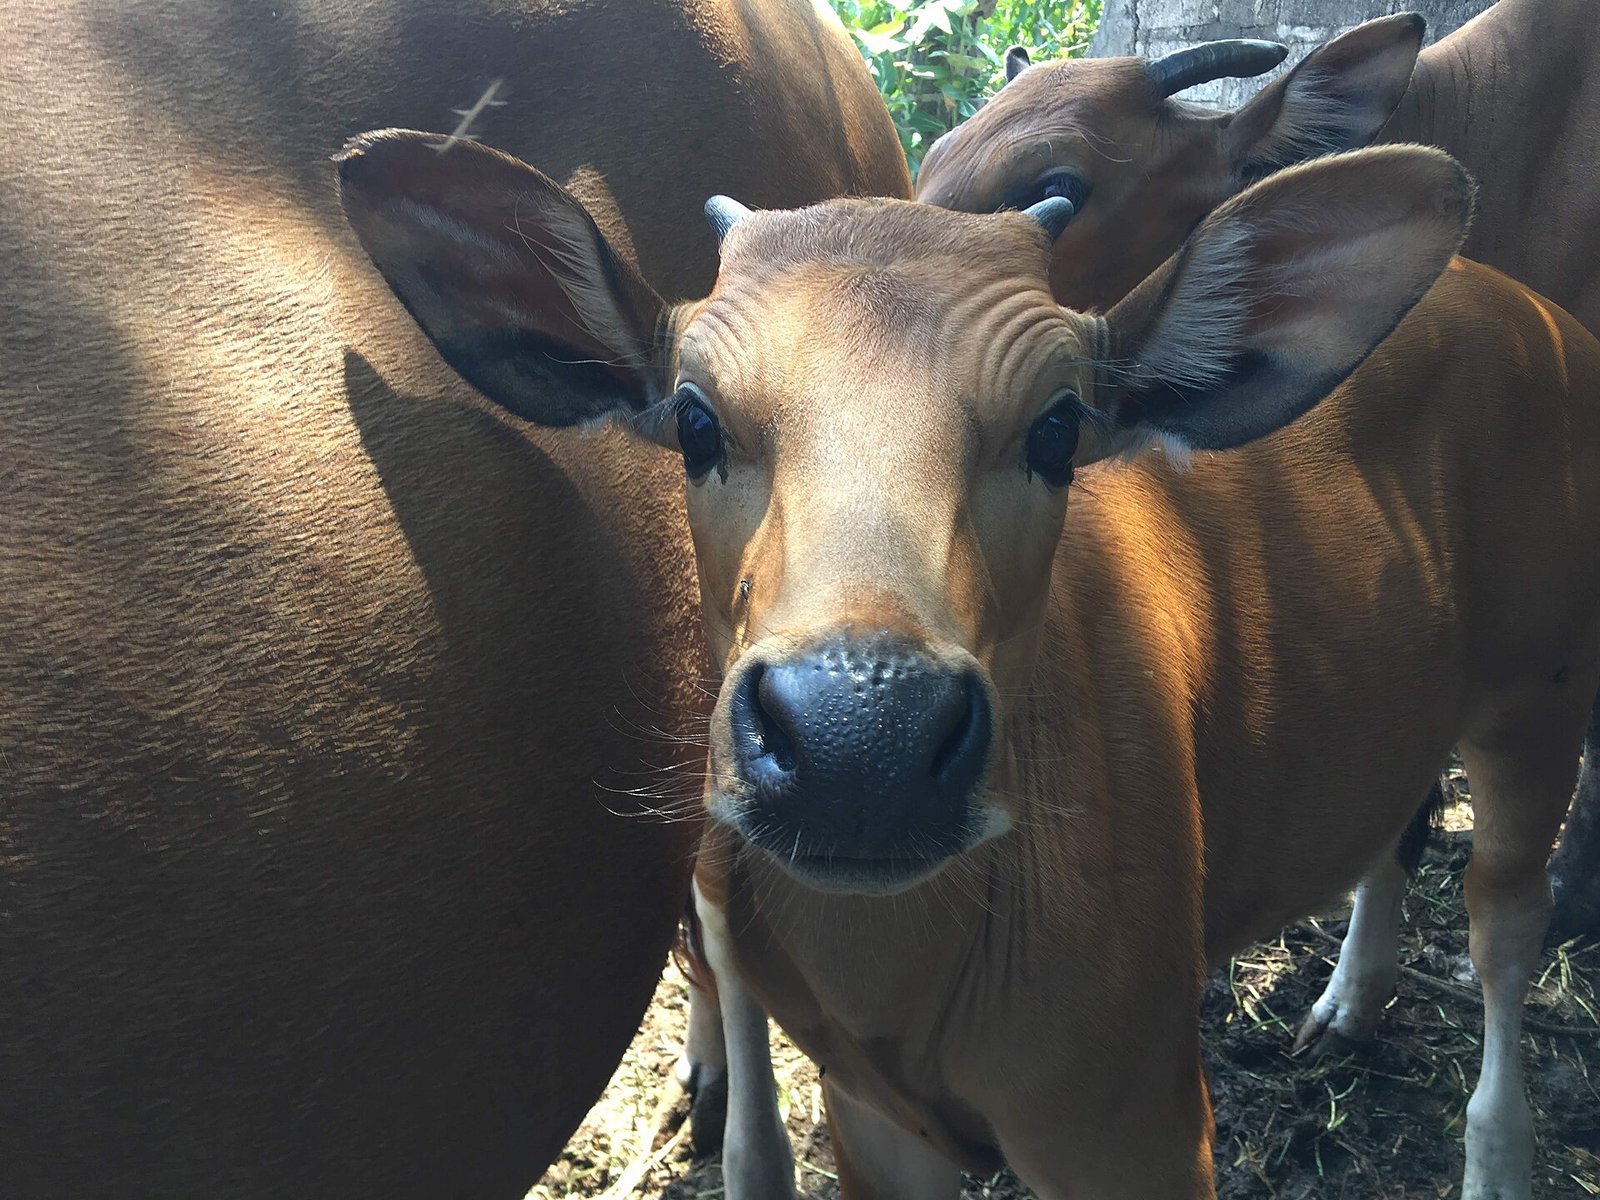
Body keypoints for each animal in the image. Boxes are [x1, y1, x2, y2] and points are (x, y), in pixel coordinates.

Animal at [341, 129, 1600, 1198]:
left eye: (1057, 427)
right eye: (694, 421)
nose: (862, 745)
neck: (914, 985)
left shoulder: (1134, 1122)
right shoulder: (873, 1121)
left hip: (1541, 694)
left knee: (1504, 916)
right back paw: (1350, 1000)